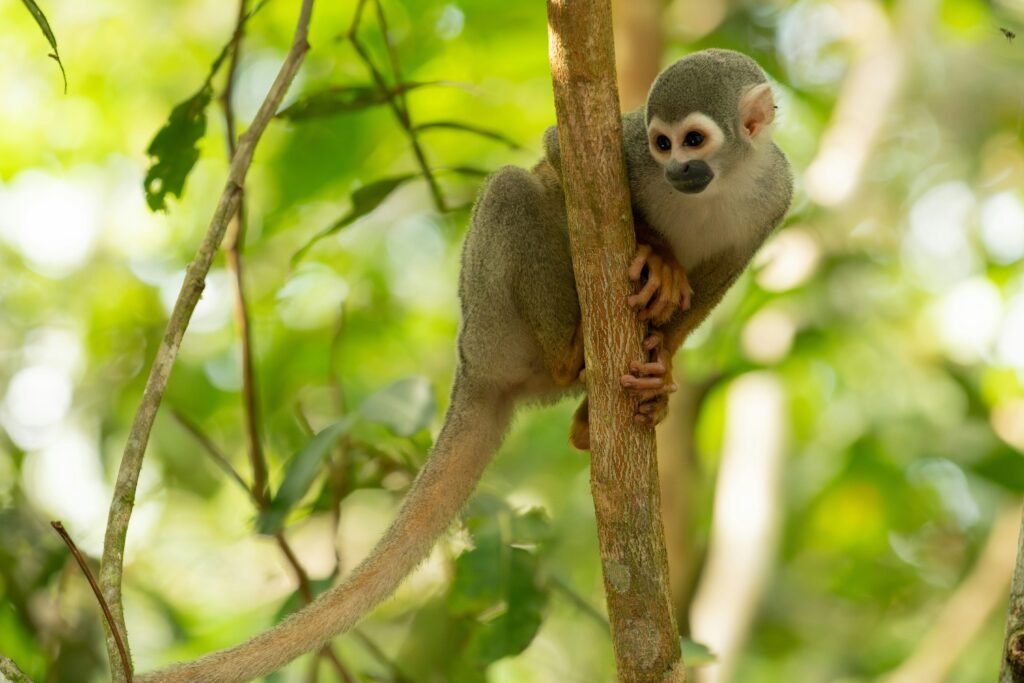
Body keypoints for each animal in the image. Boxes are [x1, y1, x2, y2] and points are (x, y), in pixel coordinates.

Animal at [137, 49, 791, 683]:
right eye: (662, 143)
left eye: (694, 141)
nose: (678, 171)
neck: (722, 183)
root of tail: (475, 369)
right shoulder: (627, 151)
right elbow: (561, 155)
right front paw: (659, 256)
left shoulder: (775, 195)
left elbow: (726, 268)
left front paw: (664, 360)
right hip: (489, 319)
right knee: (516, 189)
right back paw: (571, 356)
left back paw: (600, 406)